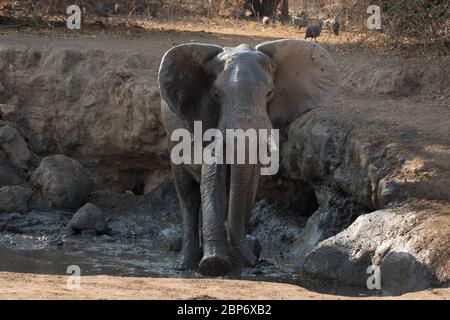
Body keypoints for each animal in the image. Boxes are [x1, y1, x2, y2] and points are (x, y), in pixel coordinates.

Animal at [158, 39, 338, 276]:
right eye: (216, 94)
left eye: (270, 93)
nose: (254, 260)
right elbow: (212, 177)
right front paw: (214, 265)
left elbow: (249, 183)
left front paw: (235, 264)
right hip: (172, 136)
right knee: (187, 194)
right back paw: (185, 265)